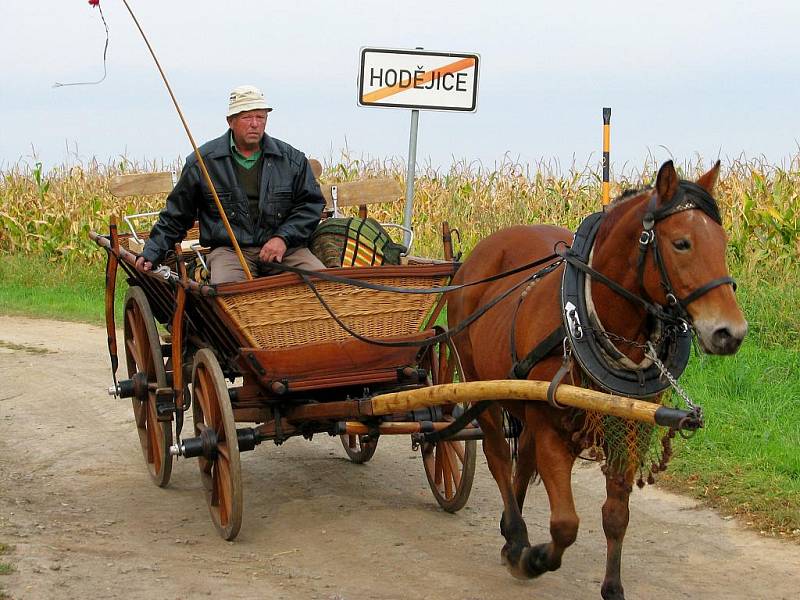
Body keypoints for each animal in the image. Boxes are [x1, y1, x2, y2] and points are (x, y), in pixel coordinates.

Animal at [446, 161, 748, 600]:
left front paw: (612, 587)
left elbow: (616, 515)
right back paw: (517, 538)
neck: (590, 315)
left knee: (523, 461)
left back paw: (510, 532)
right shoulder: (552, 428)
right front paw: (535, 558)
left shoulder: (629, 426)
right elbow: (565, 524)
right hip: (477, 382)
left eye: (724, 243)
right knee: (498, 456)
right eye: (682, 243)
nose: (731, 333)